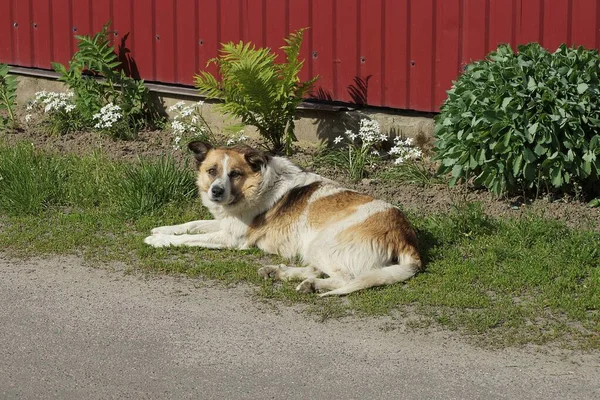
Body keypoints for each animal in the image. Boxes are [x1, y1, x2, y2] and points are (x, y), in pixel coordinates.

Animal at [145, 141, 422, 296]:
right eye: (212, 171)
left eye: (235, 174)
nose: (216, 192)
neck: (257, 185)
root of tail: (404, 235)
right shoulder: (226, 223)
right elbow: (191, 225)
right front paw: (163, 229)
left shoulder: (231, 238)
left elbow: (191, 239)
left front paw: (158, 241)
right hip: (315, 247)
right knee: (317, 269)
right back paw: (279, 273)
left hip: (322, 243)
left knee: (345, 278)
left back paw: (312, 286)